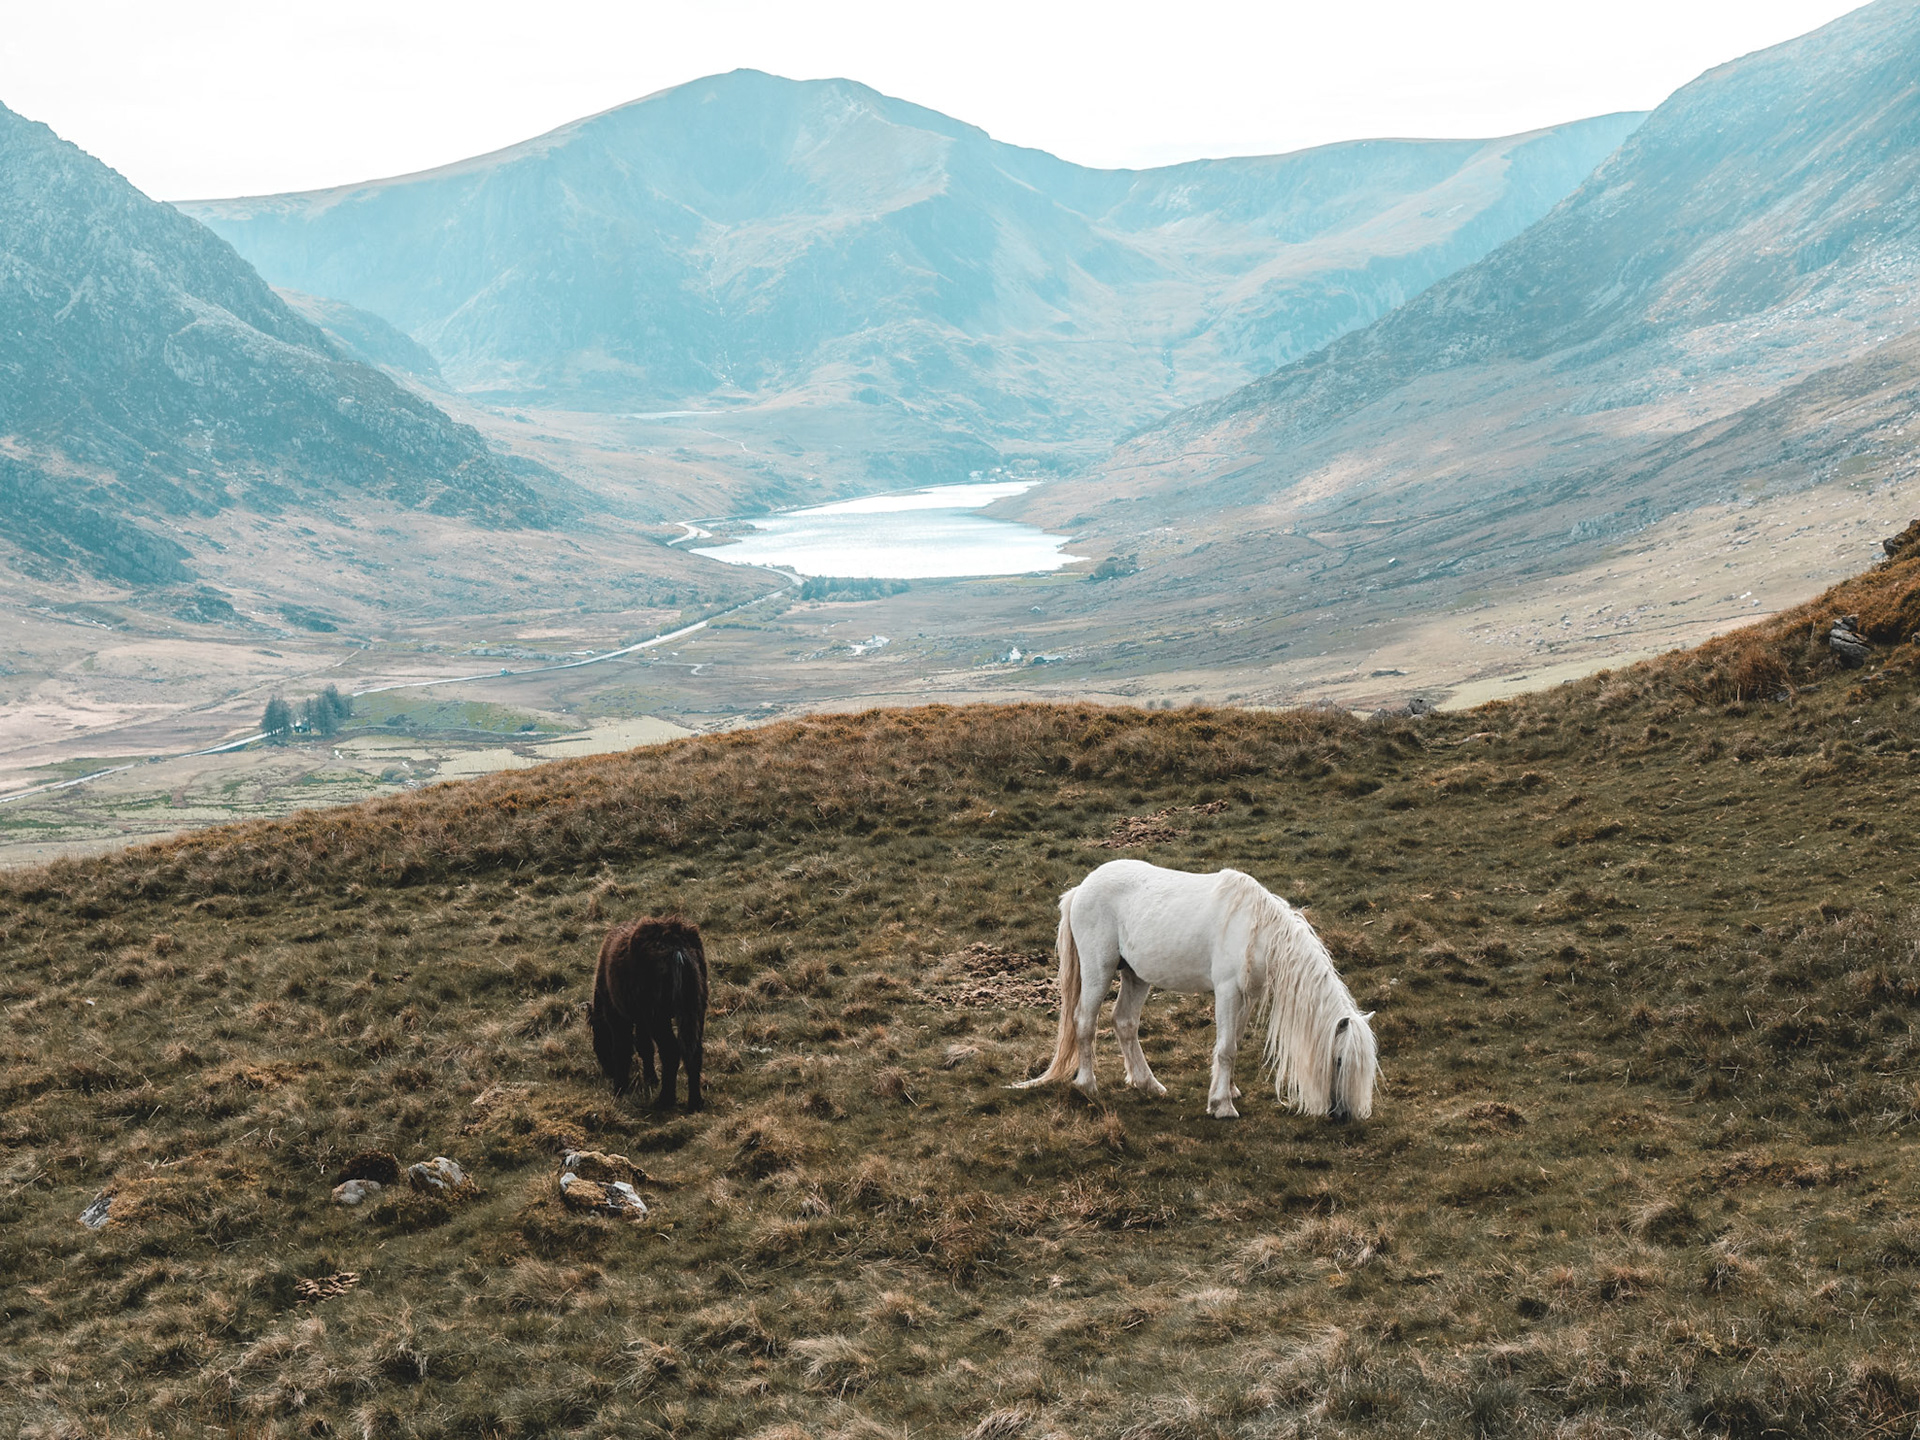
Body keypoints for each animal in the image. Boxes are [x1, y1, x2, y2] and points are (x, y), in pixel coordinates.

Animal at [588, 916, 709, 1113]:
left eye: (598, 1042)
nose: (609, 1072)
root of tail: (677, 948)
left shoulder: (618, 1016)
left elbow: (623, 1048)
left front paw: (620, 1089)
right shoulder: (641, 1019)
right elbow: (645, 1047)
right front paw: (651, 1078)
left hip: (658, 1016)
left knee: (671, 1052)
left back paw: (665, 1100)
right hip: (696, 1008)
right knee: (694, 1052)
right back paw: (695, 1102)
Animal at [1013, 859, 1377, 1120]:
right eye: (1340, 1060)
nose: (1343, 1115)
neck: (1257, 931)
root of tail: (1080, 889)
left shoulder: (1246, 997)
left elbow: (1234, 1041)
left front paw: (1228, 1091)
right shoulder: (1228, 992)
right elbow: (1226, 1048)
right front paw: (1222, 1106)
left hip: (1136, 976)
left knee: (1124, 1022)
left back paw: (1148, 1084)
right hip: (1097, 971)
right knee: (1085, 1022)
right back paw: (1088, 1086)